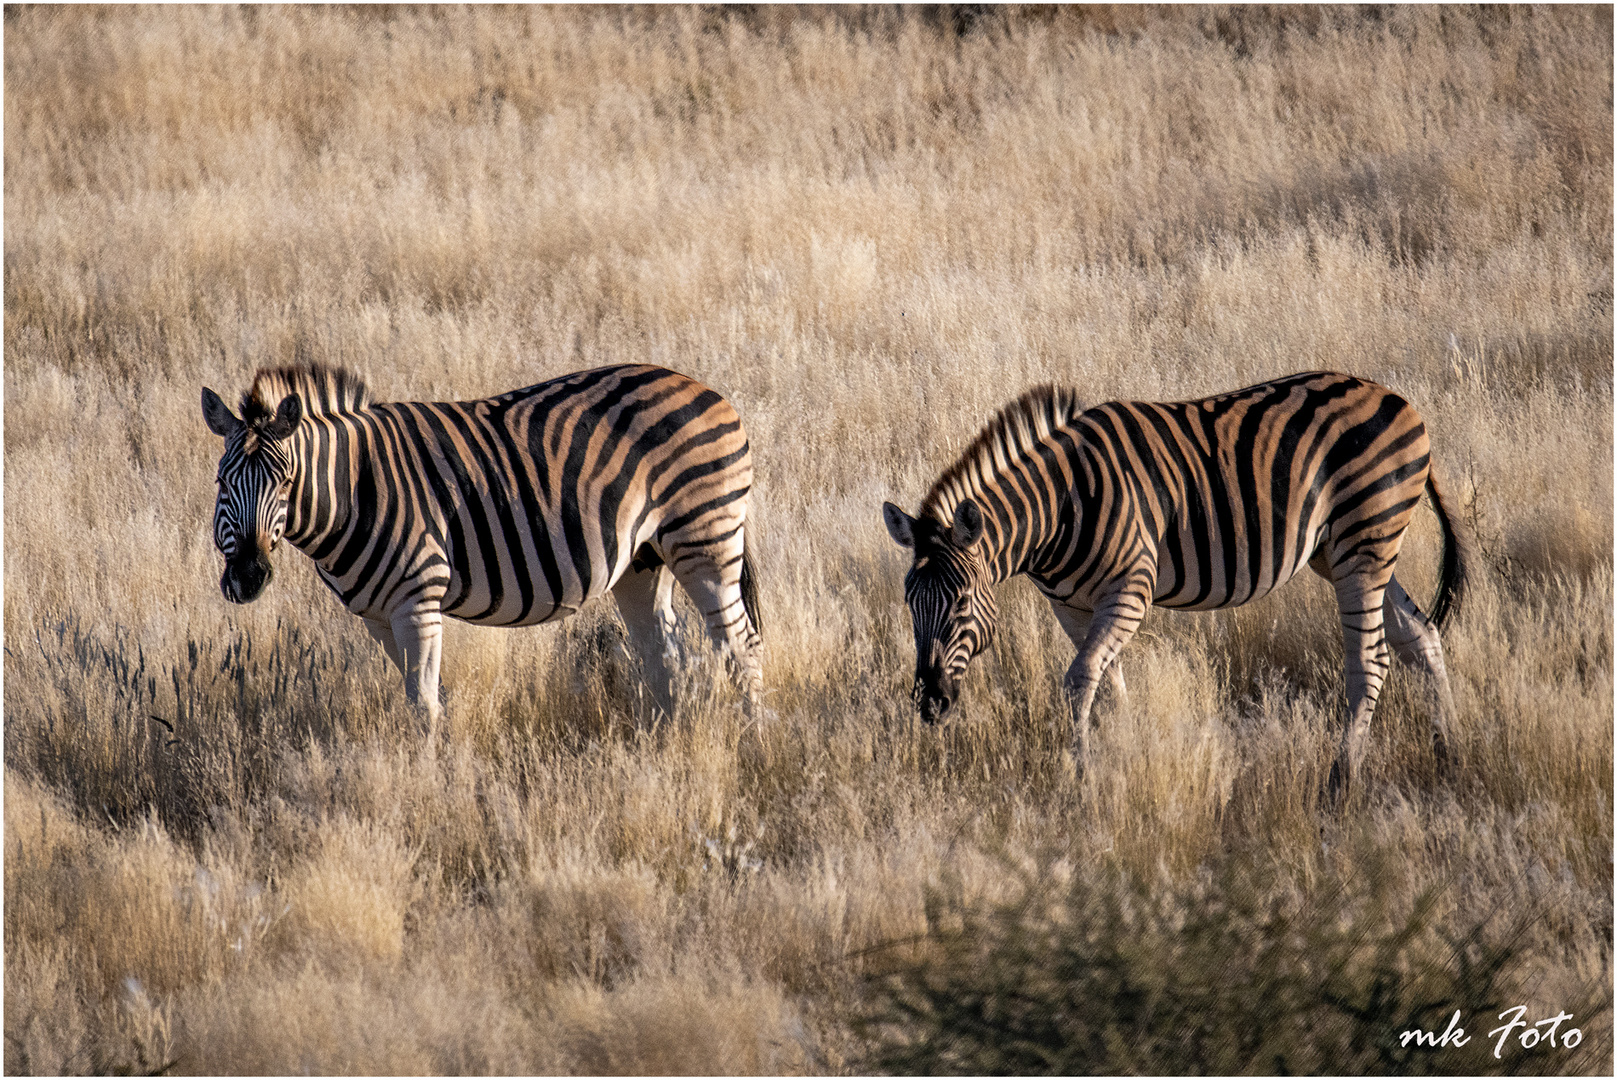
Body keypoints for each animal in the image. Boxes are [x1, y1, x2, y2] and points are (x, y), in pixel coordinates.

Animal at [203, 362, 763, 724]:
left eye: (285, 482)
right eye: (221, 482)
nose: (248, 576)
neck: (354, 489)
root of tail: (707, 390)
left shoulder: (418, 601)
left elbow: (424, 707)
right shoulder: (377, 618)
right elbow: (425, 697)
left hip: (704, 540)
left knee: (742, 647)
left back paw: (751, 742)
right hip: (643, 563)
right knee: (667, 659)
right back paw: (665, 743)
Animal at [892, 371, 1474, 801]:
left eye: (960, 603)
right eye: (909, 606)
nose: (930, 704)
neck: (1058, 511)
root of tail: (1399, 400)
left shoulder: (1131, 589)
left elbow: (1081, 679)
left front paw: (1081, 780)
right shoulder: (1071, 606)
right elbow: (1109, 683)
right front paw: (1125, 755)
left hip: (1364, 542)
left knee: (1371, 660)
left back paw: (1340, 782)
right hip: (1344, 552)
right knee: (1421, 635)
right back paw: (1448, 753)